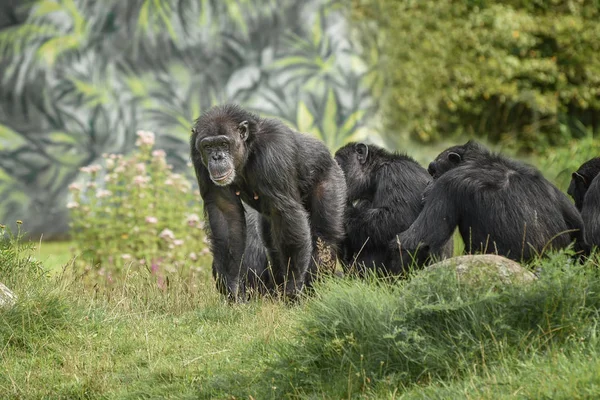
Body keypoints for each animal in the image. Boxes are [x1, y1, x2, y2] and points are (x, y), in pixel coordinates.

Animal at [190, 104, 344, 298]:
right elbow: (225, 212)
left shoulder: (274, 149)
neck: (248, 150)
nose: (217, 157)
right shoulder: (197, 153)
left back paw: (313, 289)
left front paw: (293, 288)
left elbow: (286, 212)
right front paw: (232, 288)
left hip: (331, 179)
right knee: (273, 245)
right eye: (208, 146)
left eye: (223, 144)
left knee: (324, 236)